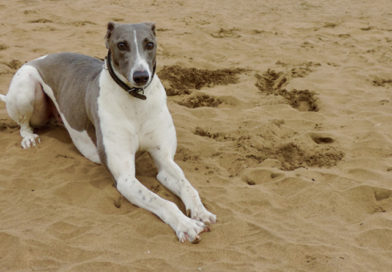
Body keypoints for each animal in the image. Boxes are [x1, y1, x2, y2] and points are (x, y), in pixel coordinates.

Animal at [0, 21, 216, 242]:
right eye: (121, 45)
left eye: (149, 44)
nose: (141, 77)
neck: (136, 101)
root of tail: (38, 59)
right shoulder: (125, 179)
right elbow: (162, 201)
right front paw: (186, 224)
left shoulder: (165, 160)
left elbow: (186, 185)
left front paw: (200, 211)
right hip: (25, 87)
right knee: (24, 124)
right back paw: (29, 138)